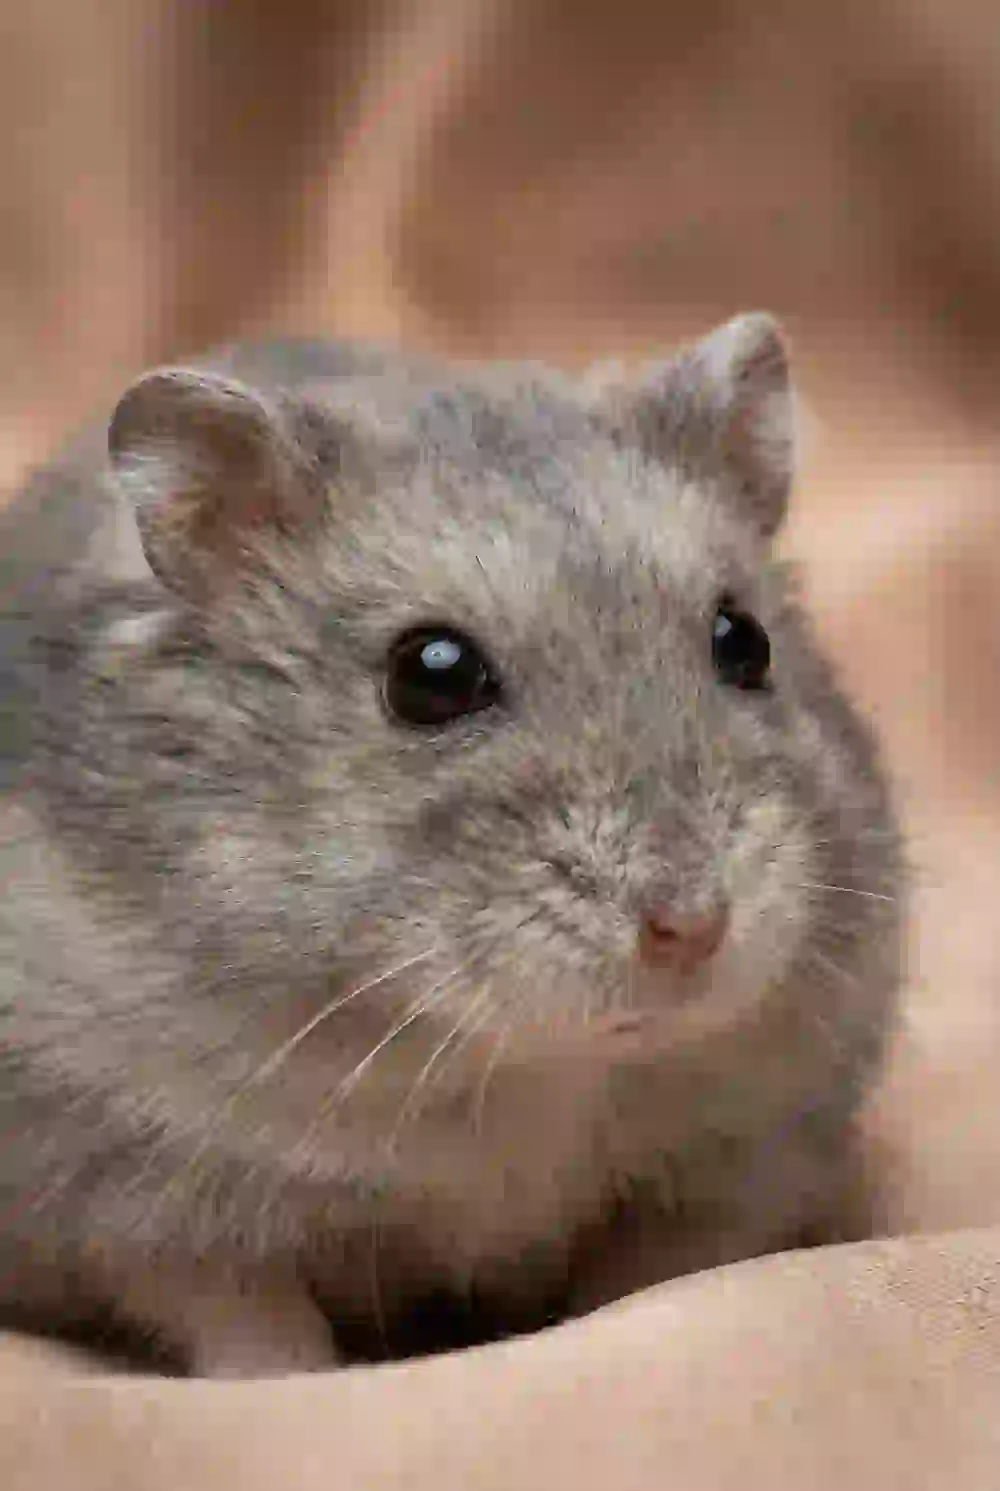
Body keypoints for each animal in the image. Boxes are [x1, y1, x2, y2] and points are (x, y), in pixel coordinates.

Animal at [0, 315, 901, 1376]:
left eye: (744, 641)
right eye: (431, 674)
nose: (692, 927)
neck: (524, 1067)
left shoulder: (748, 1153)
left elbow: (654, 1280)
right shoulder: (144, 1200)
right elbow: (251, 1328)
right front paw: (294, 1376)